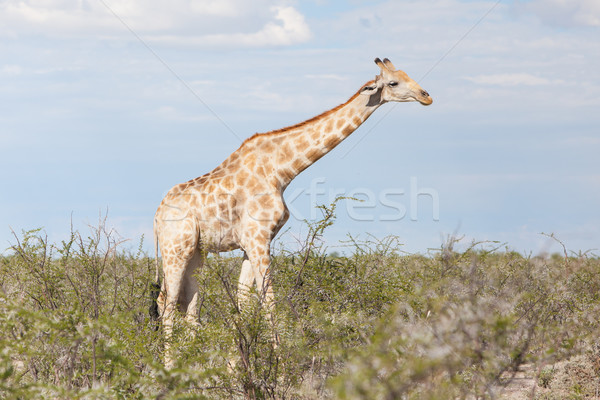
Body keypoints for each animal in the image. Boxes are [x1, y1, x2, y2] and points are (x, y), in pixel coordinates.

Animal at [151, 57, 432, 368]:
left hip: (196, 253)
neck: (281, 170)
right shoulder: (258, 238)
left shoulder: (252, 243)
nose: (426, 96)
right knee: (167, 303)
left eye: (407, 74)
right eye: (394, 82)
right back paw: (169, 368)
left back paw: (189, 365)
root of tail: (156, 216)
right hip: (176, 249)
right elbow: (268, 302)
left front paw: (238, 368)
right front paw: (280, 369)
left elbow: (244, 303)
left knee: (186, 303)